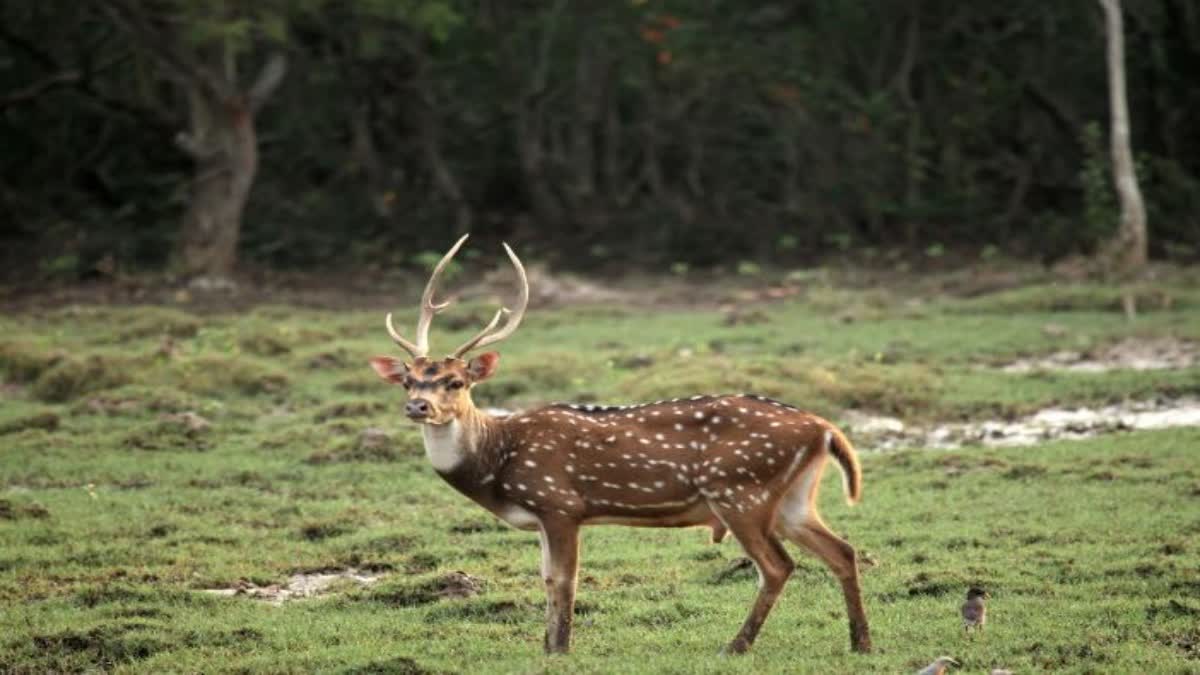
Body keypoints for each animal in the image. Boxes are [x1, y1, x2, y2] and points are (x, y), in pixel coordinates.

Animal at [367, 235, 873, 653]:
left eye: (455, 382)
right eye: (409, 380)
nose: (418, 407)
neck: (499, 462)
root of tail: (825, 428)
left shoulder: (559, 503)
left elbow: (563, 581)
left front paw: (560, 649)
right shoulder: (544, 516)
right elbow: (546, 580)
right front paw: (547, 646)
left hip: (739, 490)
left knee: (778, 565)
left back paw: (737, 646)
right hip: (792, 498)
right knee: (842, 550)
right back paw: (861, 643)